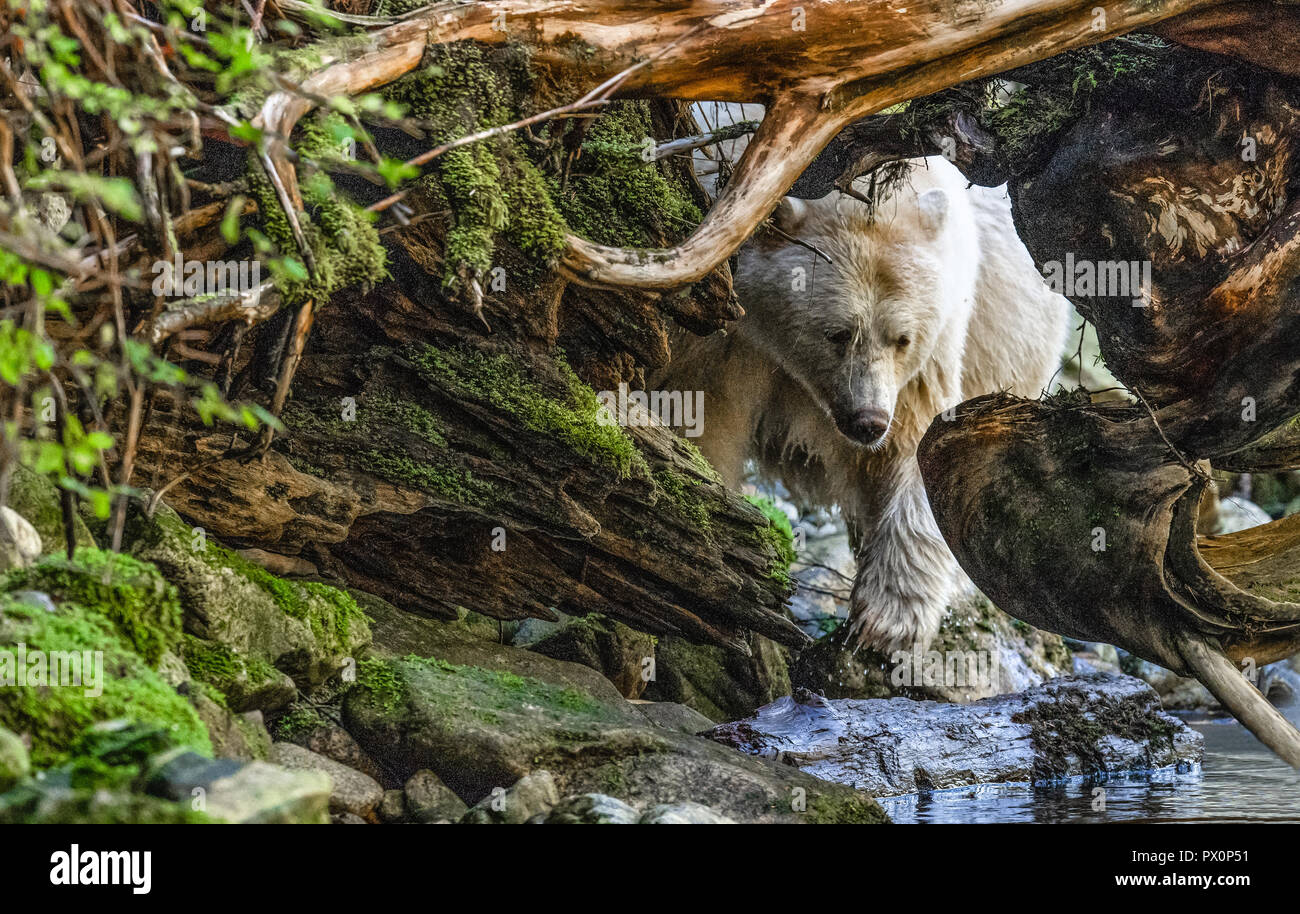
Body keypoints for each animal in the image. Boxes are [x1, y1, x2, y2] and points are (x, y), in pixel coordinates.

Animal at [655, 159, 1071, 657]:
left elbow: (922, 448)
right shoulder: (719, 329)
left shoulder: (928, 356)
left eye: (902, 338)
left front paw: (888, 618)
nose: (869, 422)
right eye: (836, 333)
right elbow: (705, 418)